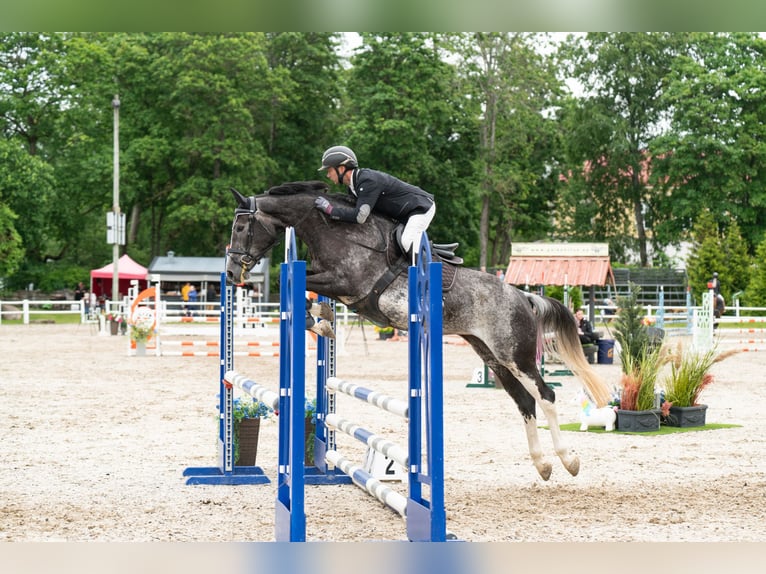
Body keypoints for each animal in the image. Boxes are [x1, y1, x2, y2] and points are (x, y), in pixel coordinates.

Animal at [226, 181, 611, 480]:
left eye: (241, 228)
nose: (230, 273)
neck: (337, 232)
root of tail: (522, 295)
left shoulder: (347, 281)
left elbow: (296, 282)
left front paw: (320, 321)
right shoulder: (339, 285)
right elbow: (306, 291)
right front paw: (323, 319)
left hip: (516, 355)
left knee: (545, 396)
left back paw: (568, 460)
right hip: (493, 357)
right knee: (525, 402)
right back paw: (543, 465)